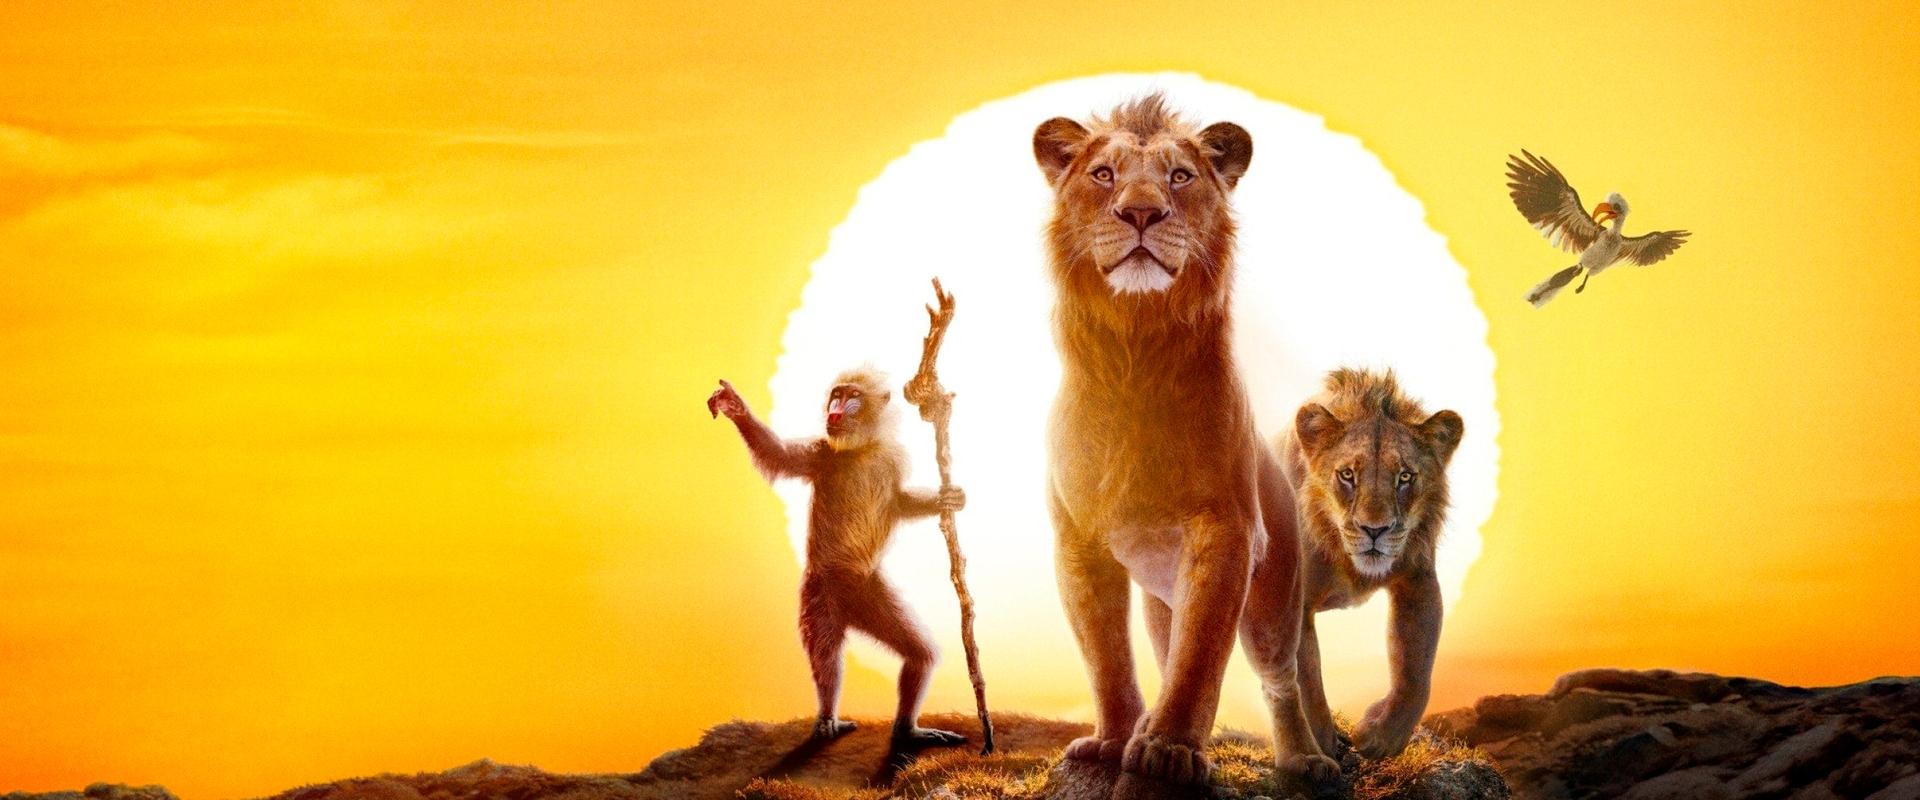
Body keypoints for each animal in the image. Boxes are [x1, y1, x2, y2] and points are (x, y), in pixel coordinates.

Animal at [1031, 93, 1337, 788]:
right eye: (1103, 175)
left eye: (1180, 176)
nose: (1142, 212)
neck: (1135, 353)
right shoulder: (1078, 542)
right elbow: (1105, 656)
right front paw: (1115, 738)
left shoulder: (1223, 529)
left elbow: (1202, 655)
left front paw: (1170, 750)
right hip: (1160, 598)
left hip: (1274, 601)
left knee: (1280, 680)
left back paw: (1305, 759)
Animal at [1280, 368, 1464, 760]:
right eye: (1347, 475)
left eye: (1405, 477)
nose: (1375, 530)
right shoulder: (1293, 602)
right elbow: (1308, 681)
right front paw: (1321, 747)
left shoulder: (1418, 581)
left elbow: (1416, 673)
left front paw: (1382, 737)